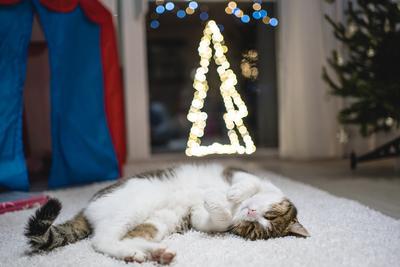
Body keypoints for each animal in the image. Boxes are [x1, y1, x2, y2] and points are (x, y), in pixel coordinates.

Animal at [25, 164, 310, 264]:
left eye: (255, 227)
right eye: (269, 215)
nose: (251, 212)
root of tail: (87, 207)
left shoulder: (198, 218)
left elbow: (216, 220)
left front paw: (217, 202)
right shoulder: (237, 171)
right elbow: (247, 183)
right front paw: (230, 194)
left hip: (157, 221)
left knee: (111, 240)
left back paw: (151, 254)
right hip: (135, 205)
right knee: (102, 240)